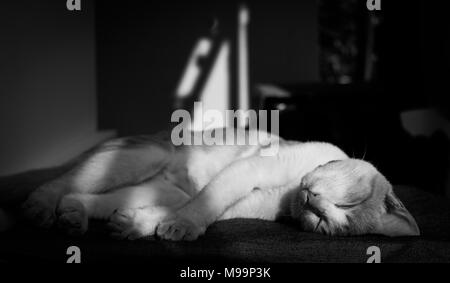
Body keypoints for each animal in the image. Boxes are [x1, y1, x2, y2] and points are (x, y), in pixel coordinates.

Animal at [22, 129, 420, 242]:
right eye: (350, 201)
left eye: (324, 223)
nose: (311, 201)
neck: (289, 193)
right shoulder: (249, 168)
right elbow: (207, 201)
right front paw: (180, 226)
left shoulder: (244, 206)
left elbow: (206, 209)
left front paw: (141, 224)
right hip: (141, 157)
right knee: (59, 183)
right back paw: (39, 208)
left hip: (157, 187)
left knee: (90, 197)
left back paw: (75, 215)